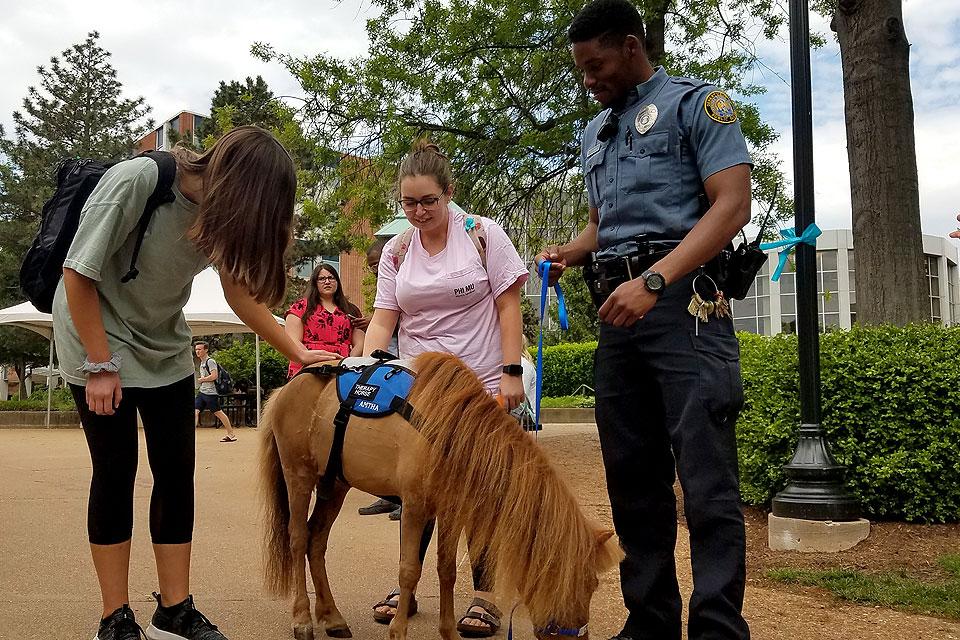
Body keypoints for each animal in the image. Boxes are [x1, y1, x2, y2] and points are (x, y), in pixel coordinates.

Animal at [258, 350, 620, 640]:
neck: (453, 433)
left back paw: (332, 618)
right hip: (299, 476)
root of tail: (287, 387)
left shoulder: (450, 511)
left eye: (593, 586)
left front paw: (448, 632)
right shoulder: (415, 507)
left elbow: (446, 570)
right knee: (298, 539)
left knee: (316, 542)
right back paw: (303, 619)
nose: (577, 637)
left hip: (335, 485)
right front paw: (398, 631)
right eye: (576, 583)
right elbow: (409, 570)